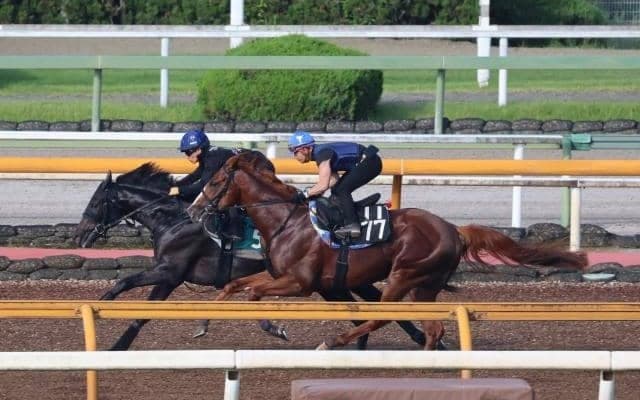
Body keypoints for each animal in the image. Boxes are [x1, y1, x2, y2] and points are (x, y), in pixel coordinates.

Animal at [74, 160, 427, 350]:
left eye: (95, 202)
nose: (79, 235)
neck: (173, 219)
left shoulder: (170, 270)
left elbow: (126, 285)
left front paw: (103, 307)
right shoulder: (171, 276)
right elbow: (142, 312)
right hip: (334, 283)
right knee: (366, 309)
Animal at [187, 151, 588, 350]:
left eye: (217, 182)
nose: (193, 210)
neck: (287, 220)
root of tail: (453, 229)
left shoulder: (299, 282)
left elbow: (253, 293)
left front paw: (274, 327)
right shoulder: (278, 274)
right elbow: (233, 286)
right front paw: (203, 323)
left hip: (404, 275)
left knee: (383, 316)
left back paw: (334, 342)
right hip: (424, 286)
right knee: (434, 329)